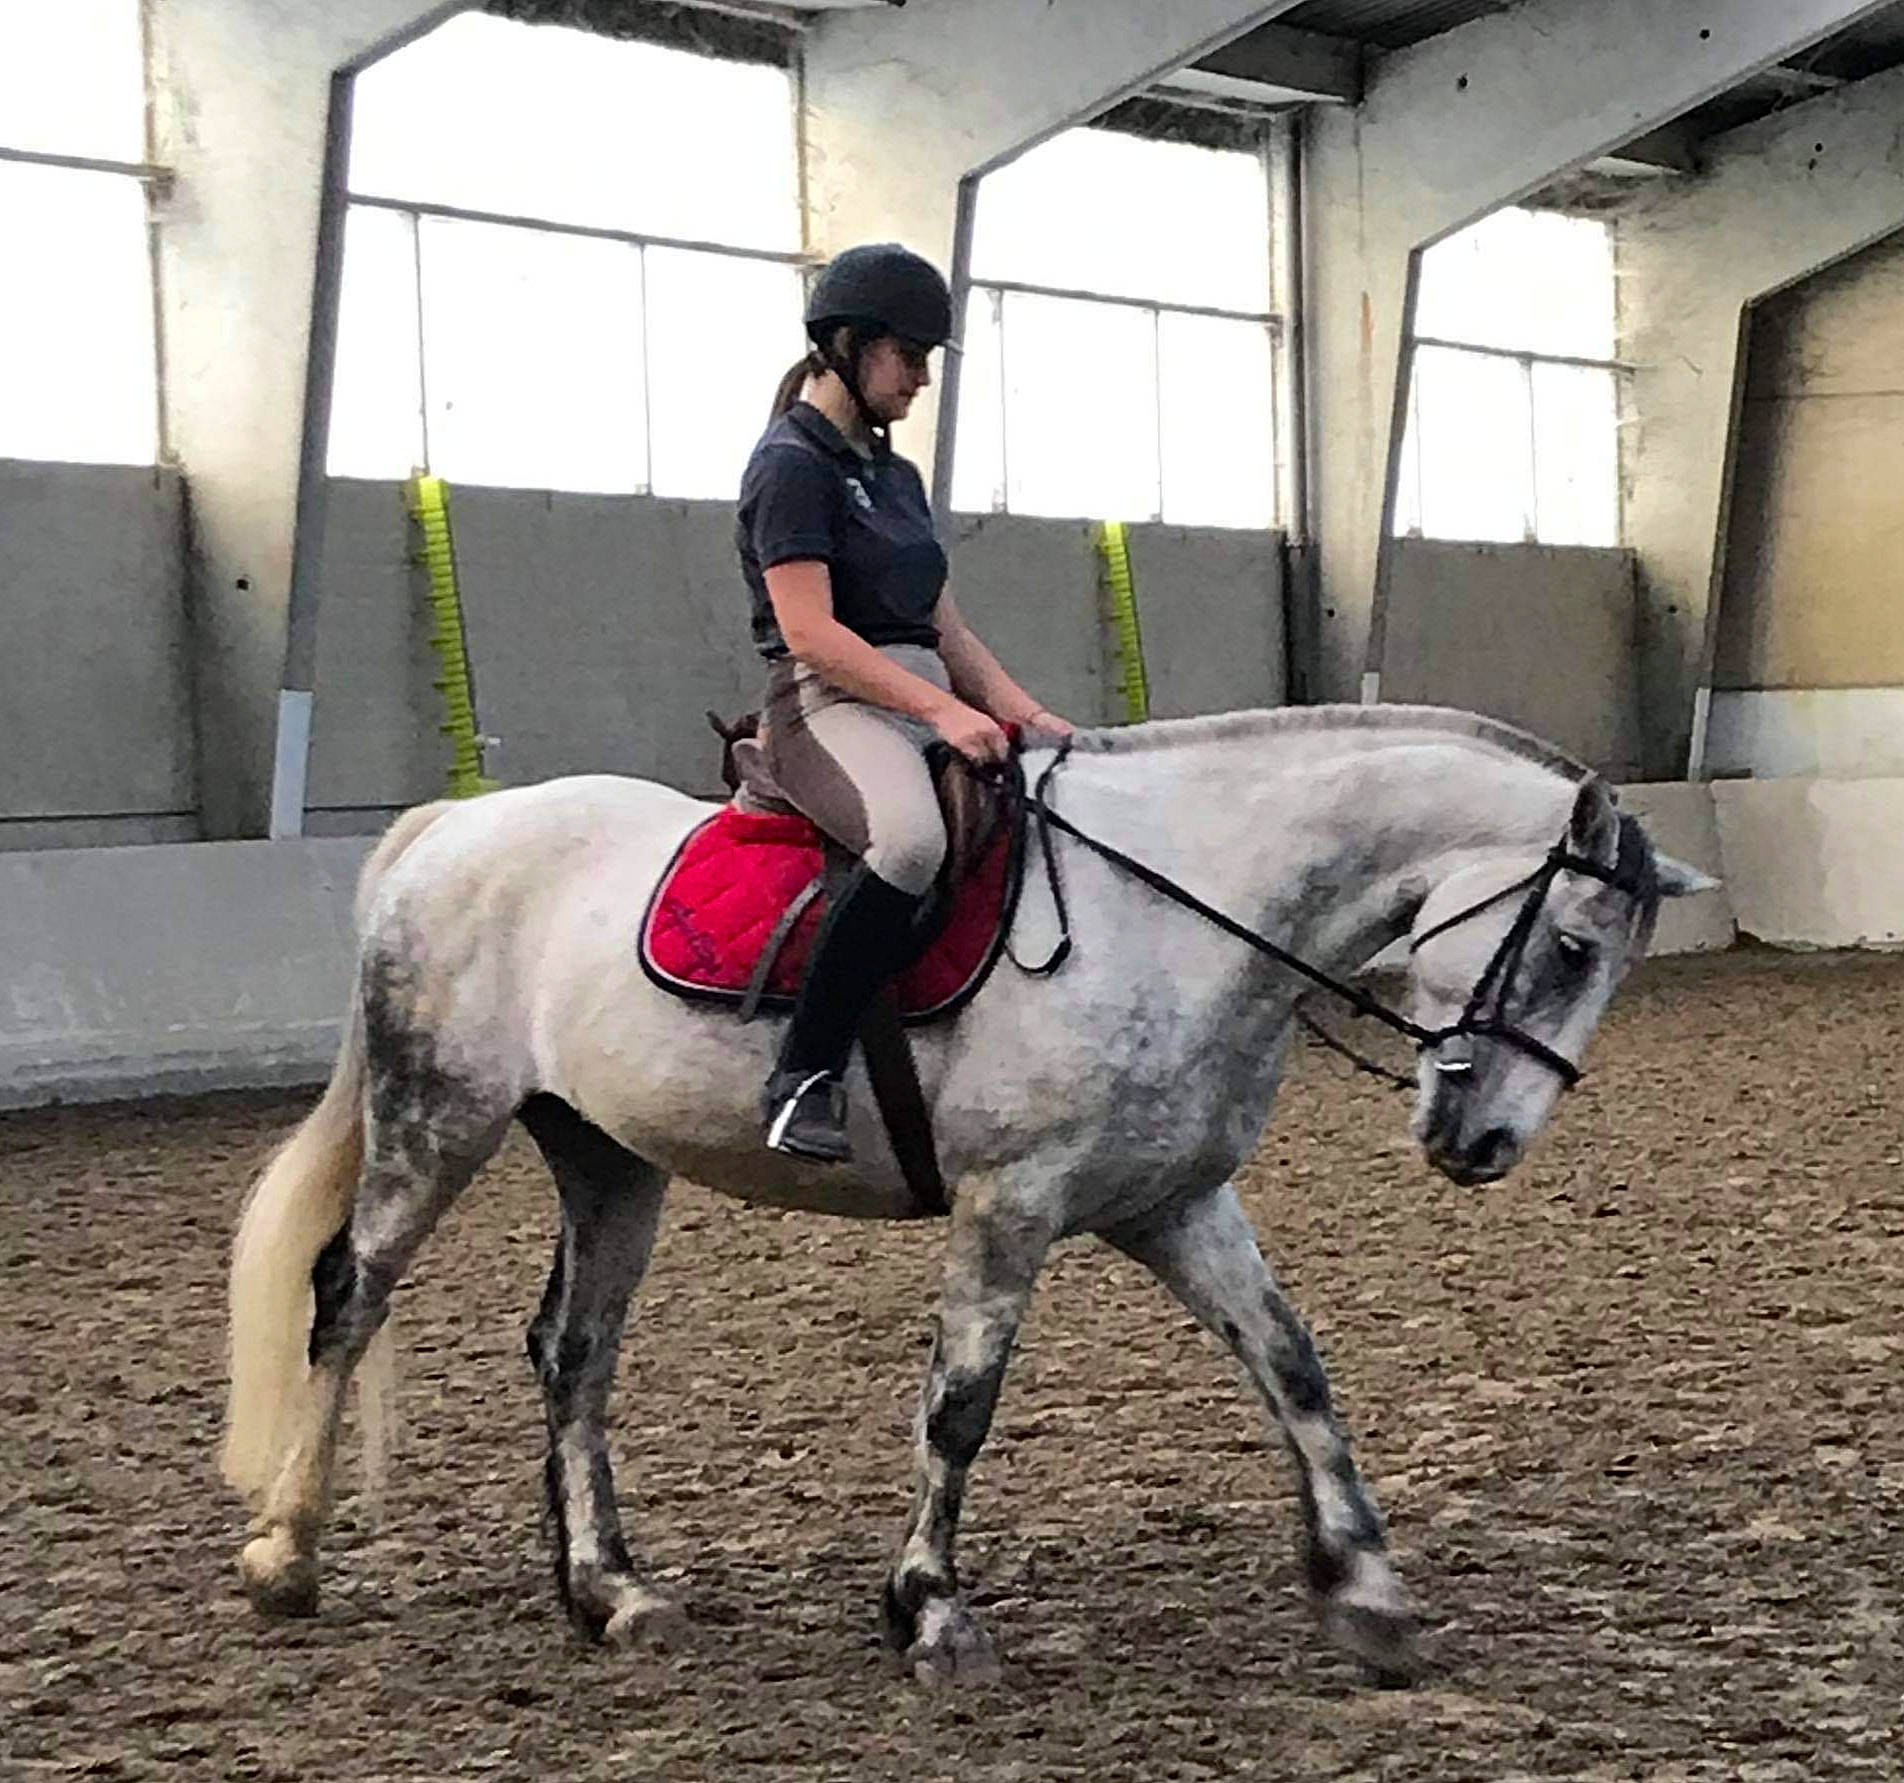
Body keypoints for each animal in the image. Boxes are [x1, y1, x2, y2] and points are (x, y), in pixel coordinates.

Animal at [220, 704, 1712, 1684]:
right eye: (1570, 947)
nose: (1485, 1140)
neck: (1178, 913)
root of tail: (453, 825)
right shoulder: (1015, 1199)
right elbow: (961, 1404)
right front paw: (930, 1609)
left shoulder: (1177, 1201)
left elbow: (1293, 1368)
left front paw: (1368, 1593)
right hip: (438, 1116)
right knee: (350, 1295)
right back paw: (286, 1555)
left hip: (605, 1153)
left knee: (573, 1353)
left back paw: (612, 1594)